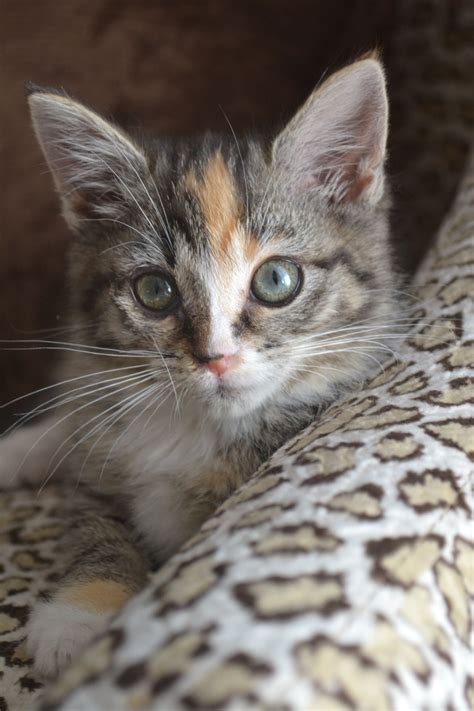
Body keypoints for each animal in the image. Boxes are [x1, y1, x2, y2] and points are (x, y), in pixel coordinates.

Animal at [0, 57, 396, 680]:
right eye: (155, 291)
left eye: (276, 280)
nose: (216, 356)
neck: (194, 429)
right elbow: (93, 520)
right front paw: (80, 613)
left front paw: (82, 622)